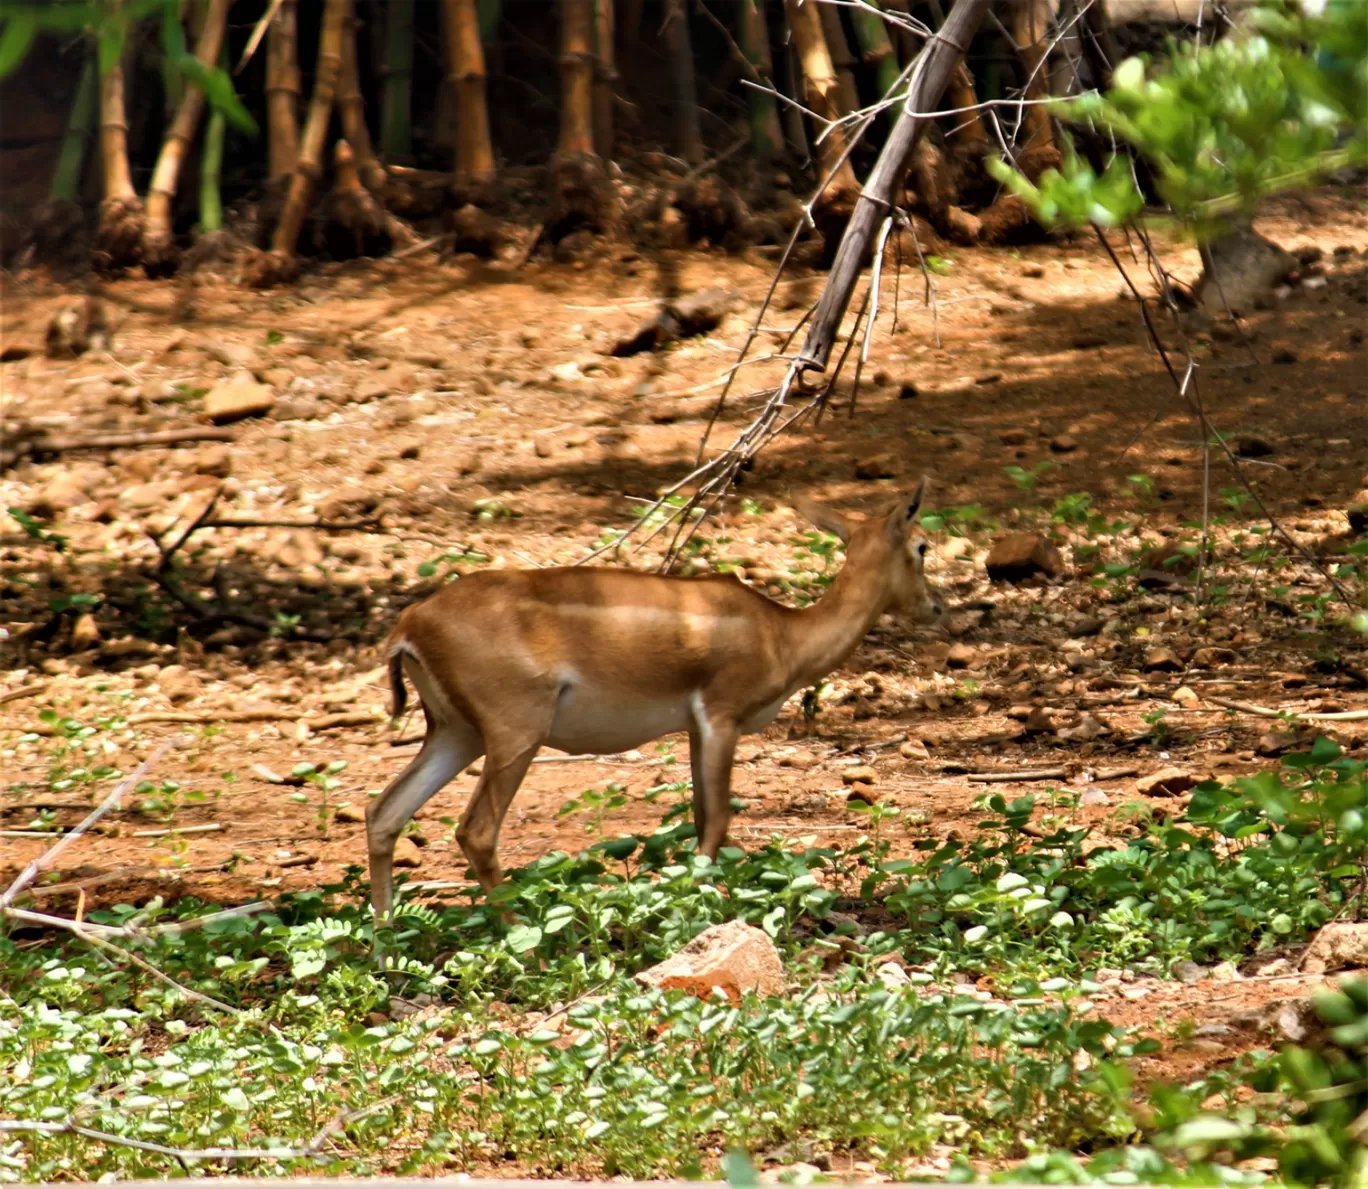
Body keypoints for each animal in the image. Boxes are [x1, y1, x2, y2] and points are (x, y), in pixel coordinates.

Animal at [369, 478, 946, 924]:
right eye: (922, 545)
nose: (936, 607)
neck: (783, 633)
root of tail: (410, 625)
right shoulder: (721, 717)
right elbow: (717, 821)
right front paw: (695, 905)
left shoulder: (693, 728)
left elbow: (699, 816)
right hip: (514, 735)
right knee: (475, 831)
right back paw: (522, 938)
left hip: (456, 734)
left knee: (384, 813)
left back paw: (383, 945)